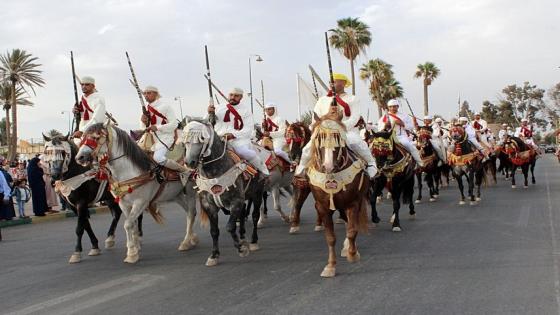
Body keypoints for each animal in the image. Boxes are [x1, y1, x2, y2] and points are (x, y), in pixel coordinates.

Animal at [43, 131, 143, 264]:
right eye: (47, 152)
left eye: (63, 153)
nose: (54, 175)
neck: (77, 173)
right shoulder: (73, 206)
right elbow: (86, 225)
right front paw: (95, 246)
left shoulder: (81, 203)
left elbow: (79, 228)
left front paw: (77, 252)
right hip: (110, 198)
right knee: (116, 214)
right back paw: (110, 238)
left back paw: (139, 237)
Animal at [75, 123, 199, 264]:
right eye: (83, 137)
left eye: (96, 137)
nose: (79, 157)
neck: (129, 172)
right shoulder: (124, 204)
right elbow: (132, 224)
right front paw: (135, 247)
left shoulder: (140, 202)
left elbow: (128, 224)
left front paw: (131, 253)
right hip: (176, 196)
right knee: (189, 213)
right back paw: (192, 238)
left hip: (190, 193)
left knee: (191, 213)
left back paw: (186, 242)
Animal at [304, 110, 370, 278]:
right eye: (319, 138)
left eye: (338, 138)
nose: (328, 166)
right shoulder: (323, 207)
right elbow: (330, 237)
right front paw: (330, 266)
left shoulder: (353, 203)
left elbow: (352, 230)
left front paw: (353, 254)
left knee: (351, 225)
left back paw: (349, 249)